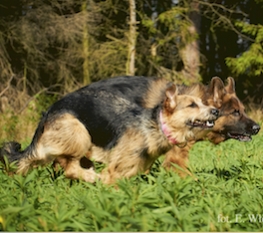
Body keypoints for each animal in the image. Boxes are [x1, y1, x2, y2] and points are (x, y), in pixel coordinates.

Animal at [0, 76, 220, 184]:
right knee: (69, 168)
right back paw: (92, 177)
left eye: (203, 102)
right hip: (80, 133)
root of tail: (47, 113)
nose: (216, 111)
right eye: (192, 105)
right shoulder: (115, 171)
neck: (155, 125)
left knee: (65, 164)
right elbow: (111, 183)